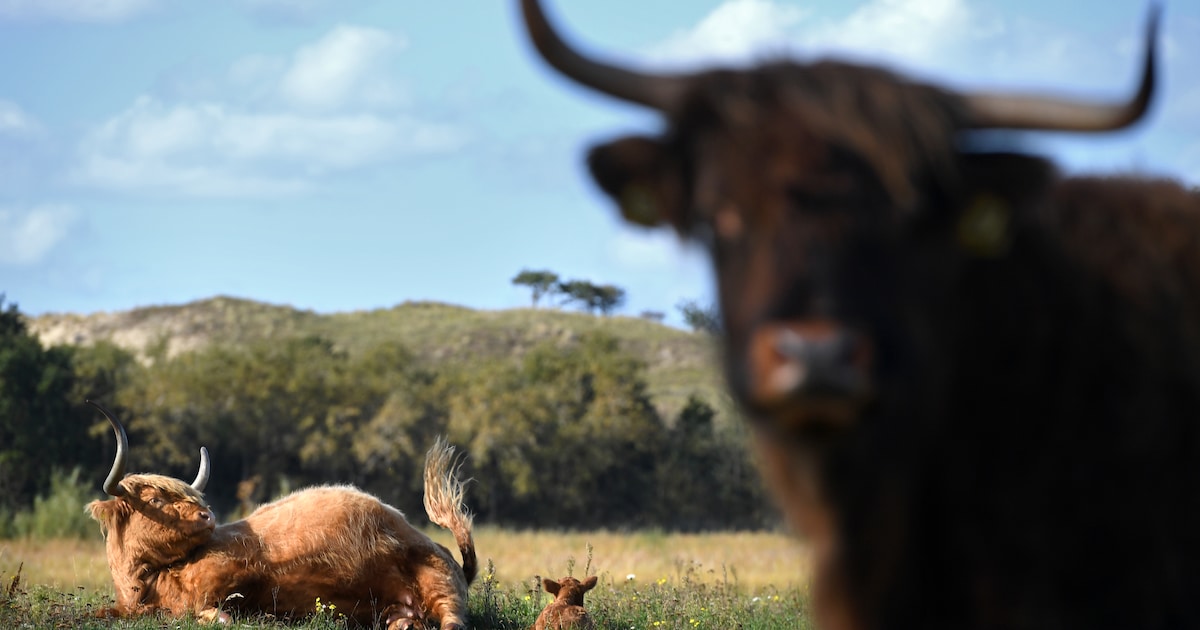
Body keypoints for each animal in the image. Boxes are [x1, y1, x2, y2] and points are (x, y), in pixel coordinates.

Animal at [85, 400, 477, 624]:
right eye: (154, 501)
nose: (206, 516)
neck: (150, 581)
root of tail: (443, 551)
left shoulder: (233, 569)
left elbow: (214, 612)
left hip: (440, 585)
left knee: (452, 621)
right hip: (405, 606)